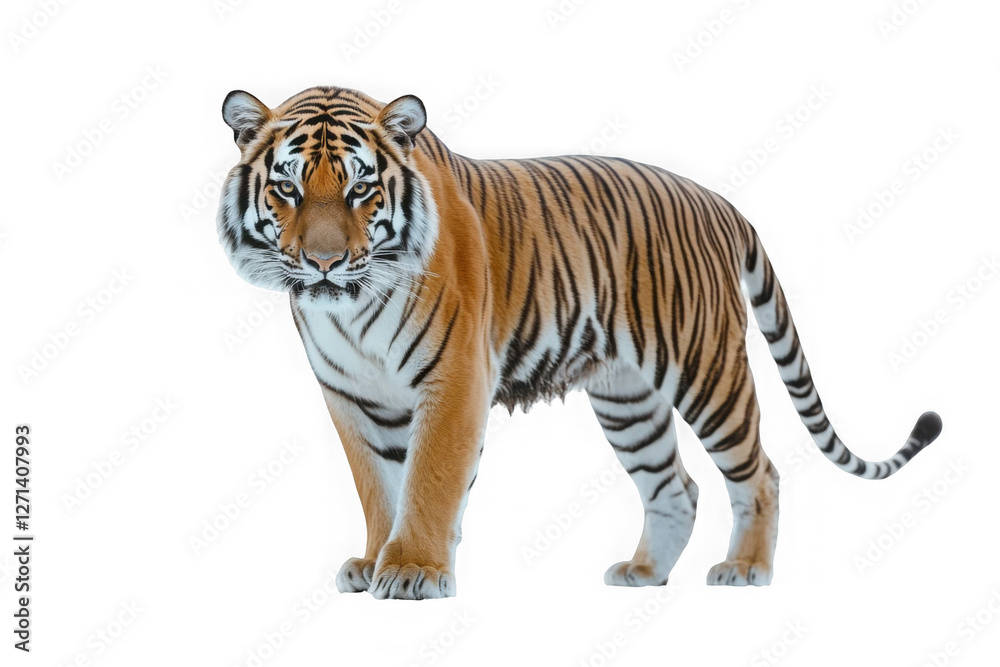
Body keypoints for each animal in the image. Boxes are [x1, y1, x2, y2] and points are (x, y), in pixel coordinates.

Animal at [216, 85, 942, 600]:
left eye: (361, 188)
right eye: (287, 188)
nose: (324, 263)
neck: (351, 306)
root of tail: (718, 202)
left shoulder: (453, 379)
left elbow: (428, 479)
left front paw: (415, 570)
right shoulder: (350, 394)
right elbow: (378, 486)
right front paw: (374, 562)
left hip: (707, 369)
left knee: (758, 473)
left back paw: (744, 569)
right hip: (629, 399)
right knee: (675, 487)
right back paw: (644, 573)